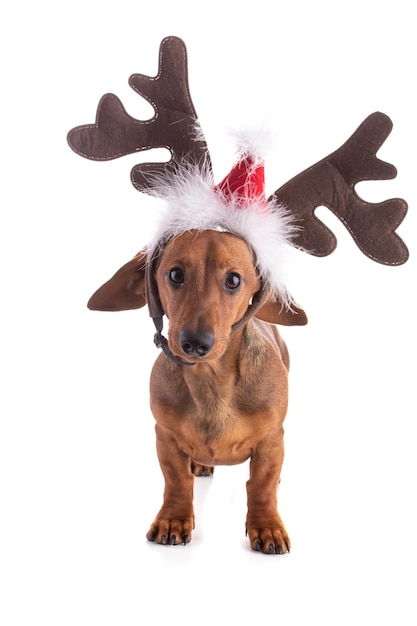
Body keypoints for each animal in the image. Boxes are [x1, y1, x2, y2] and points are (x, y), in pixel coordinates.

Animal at [88, 228, 308, 552]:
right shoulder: (165, 437)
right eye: (176, 274)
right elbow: (177, 481)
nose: (195, 342)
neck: (210, 383)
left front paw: (267, 527)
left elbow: (261, 486)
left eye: (233, 280)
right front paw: (172, 520)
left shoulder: (271, 441)